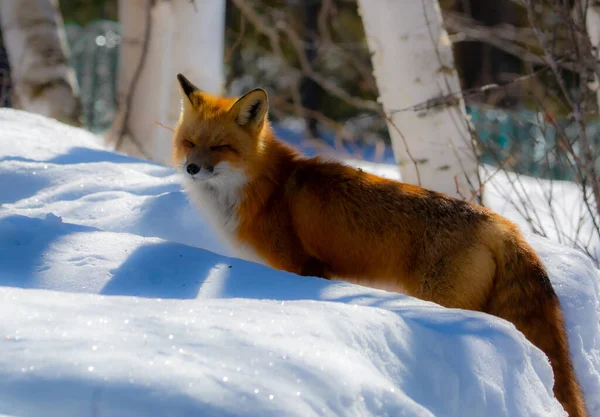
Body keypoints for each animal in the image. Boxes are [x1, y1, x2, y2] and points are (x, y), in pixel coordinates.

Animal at [172, 73, 584, 414]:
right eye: (190, 143)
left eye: (220, 147)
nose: (192, 168)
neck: (263, 189)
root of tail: (501, 222)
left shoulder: (301, 266)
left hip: (441, 298)